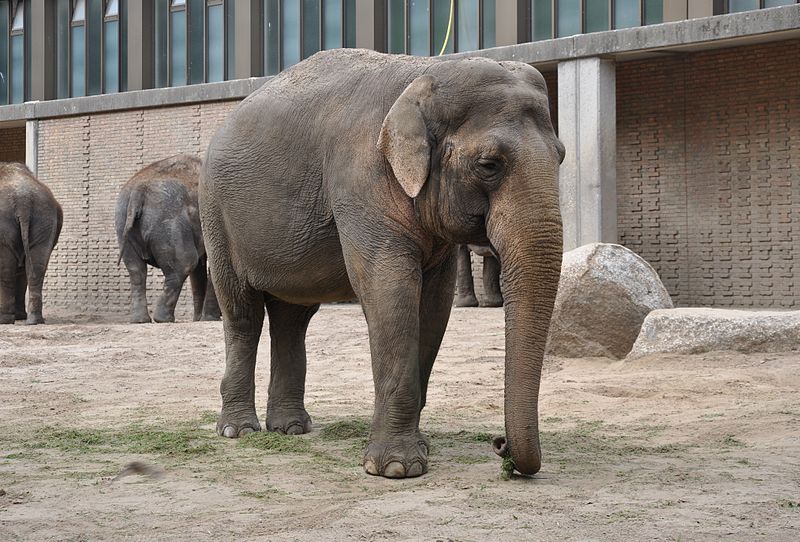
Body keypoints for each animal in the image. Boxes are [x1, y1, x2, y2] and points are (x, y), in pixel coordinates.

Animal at [0, 162, 63, 324]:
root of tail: (24, 200)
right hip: (44, 218)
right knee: (35, 267)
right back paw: (34, 320)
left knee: (6, 269)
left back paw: (5, 320)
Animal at [114, 156, 220, 328]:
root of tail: (138, 192)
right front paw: (209, 319)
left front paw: (200, 319)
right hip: (170, 225)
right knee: (185, 264)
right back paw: (163, 319)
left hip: (123, 224)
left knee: (136, 271)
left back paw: (140, 320)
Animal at [199, 49, 564, 478]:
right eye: (489, 164)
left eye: (560, 156)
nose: (500, 446)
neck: (422, 74)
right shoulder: (361, 182)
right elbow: (389, 290)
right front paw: (396, 469)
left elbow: (434, 304)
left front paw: (418, 449)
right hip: (216, 215)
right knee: (242, 313)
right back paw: (237, 431)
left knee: (292, 318)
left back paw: (291, 428)